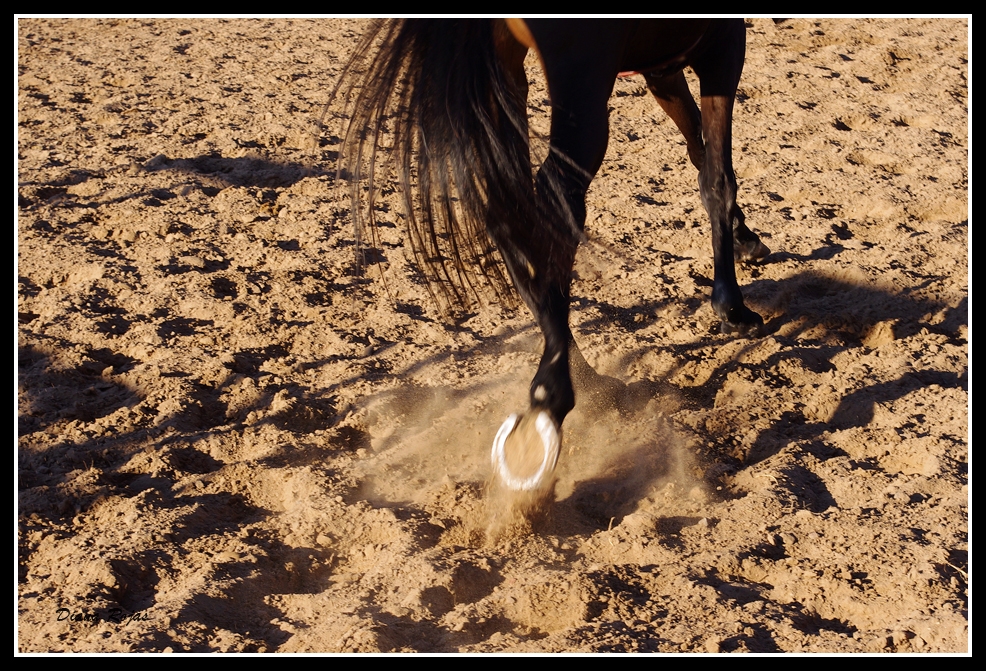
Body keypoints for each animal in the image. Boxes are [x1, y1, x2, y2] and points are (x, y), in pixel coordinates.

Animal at [326, 19, 764, 494]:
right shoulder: (722, 48)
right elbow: (717, 175)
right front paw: (731, 304)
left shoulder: (663, 68)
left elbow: (697, 148)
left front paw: (744, 237)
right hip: (580, 85)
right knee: (554, 200)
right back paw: (554, 394)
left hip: (503, 75)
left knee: (512, 211)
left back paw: (582, 379)